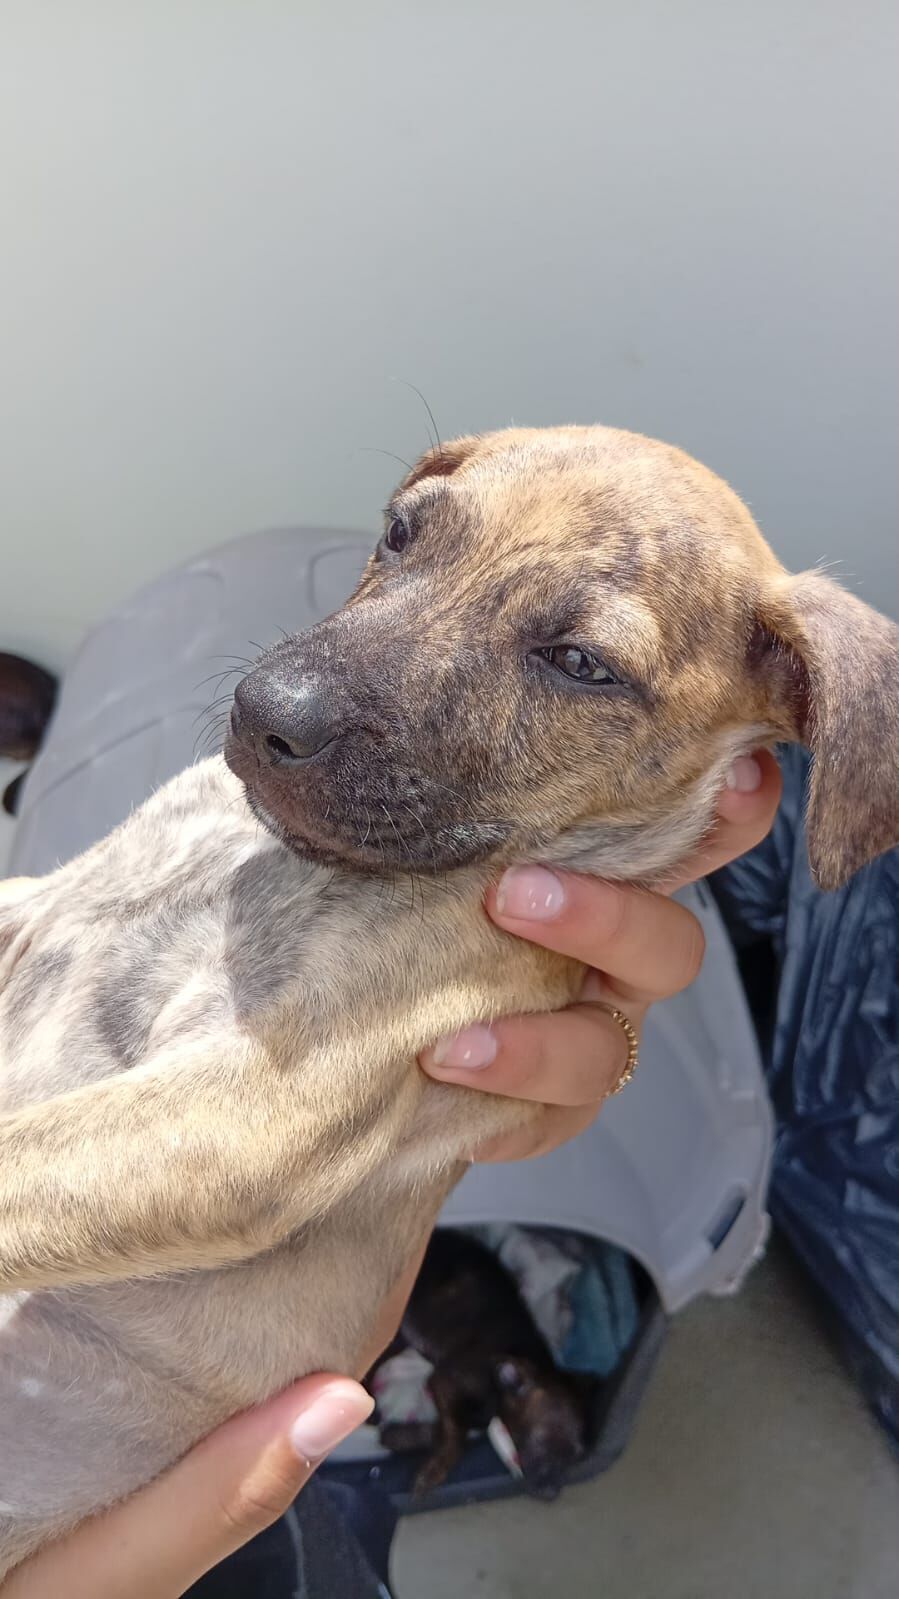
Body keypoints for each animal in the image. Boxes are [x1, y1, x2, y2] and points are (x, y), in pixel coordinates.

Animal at [374, 1228, 597, 1499]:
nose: (551, 1494)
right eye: (540, 1441)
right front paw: (433, 1471)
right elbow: (457, 1436)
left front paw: (398, 1436)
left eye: (576, 1457)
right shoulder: (445, 1381)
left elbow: (450, 1429)